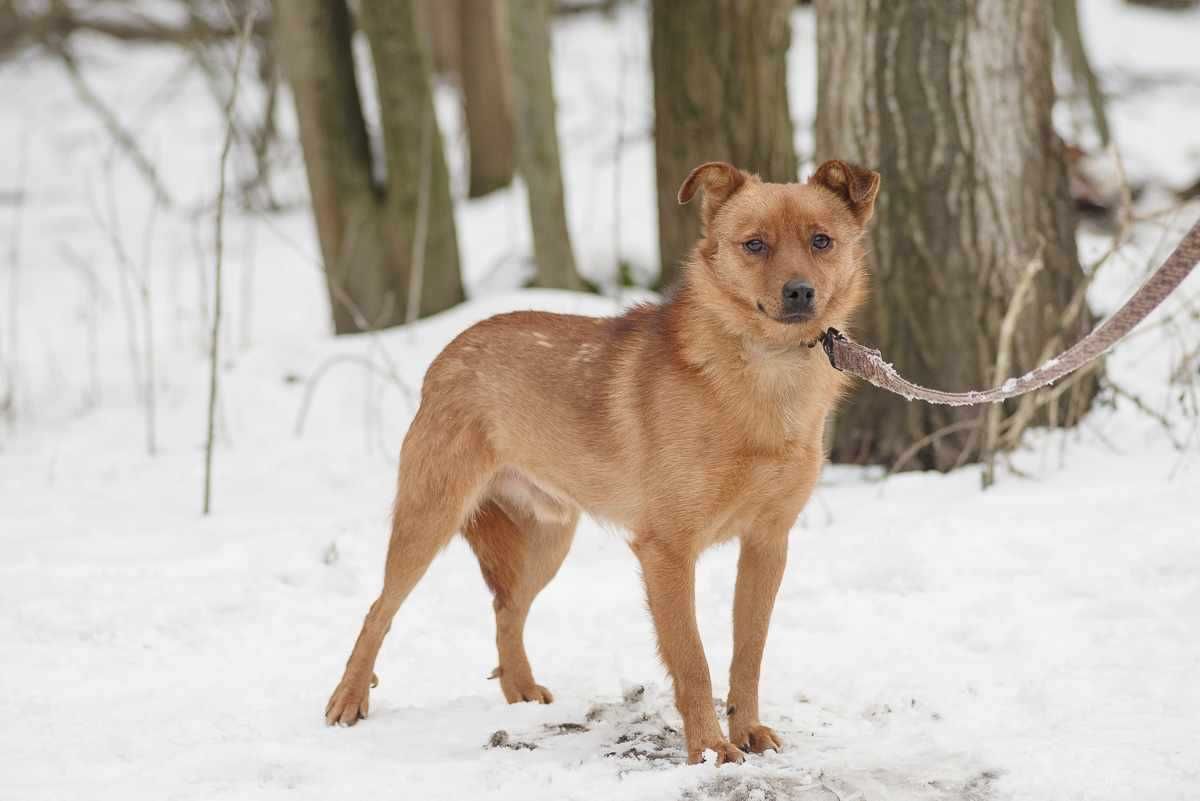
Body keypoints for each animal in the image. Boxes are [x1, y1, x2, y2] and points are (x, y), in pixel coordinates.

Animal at [324, 158, 878, 762]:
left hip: (549, 539)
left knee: (507, 610)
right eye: (754, 244)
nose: (799, 292)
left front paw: (747, 731)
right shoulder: (666, 552)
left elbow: (748, 654)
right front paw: (709, 750)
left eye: (821, 241)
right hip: (429, 518)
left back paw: (520, 691)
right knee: (380, 609)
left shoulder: (767, 545)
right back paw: (349, 698)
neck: (765, 374)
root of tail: (448, 352)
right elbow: (693, 660)